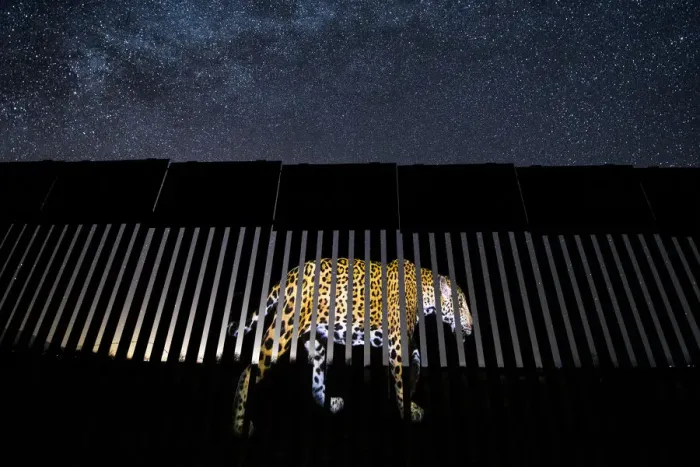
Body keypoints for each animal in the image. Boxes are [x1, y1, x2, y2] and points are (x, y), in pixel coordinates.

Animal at [229, 257, 473, 437]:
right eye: (460, 304)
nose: (471, 327)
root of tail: (291, 274)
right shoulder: (396, 343)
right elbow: (401, 378)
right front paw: (408, 410)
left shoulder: (402, 341)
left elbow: (417, 360)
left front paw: (412, 391)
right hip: (283, 330)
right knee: (248, 372)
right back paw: (240, 424)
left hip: (317, 340)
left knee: (316, 382)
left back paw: (332, 404)